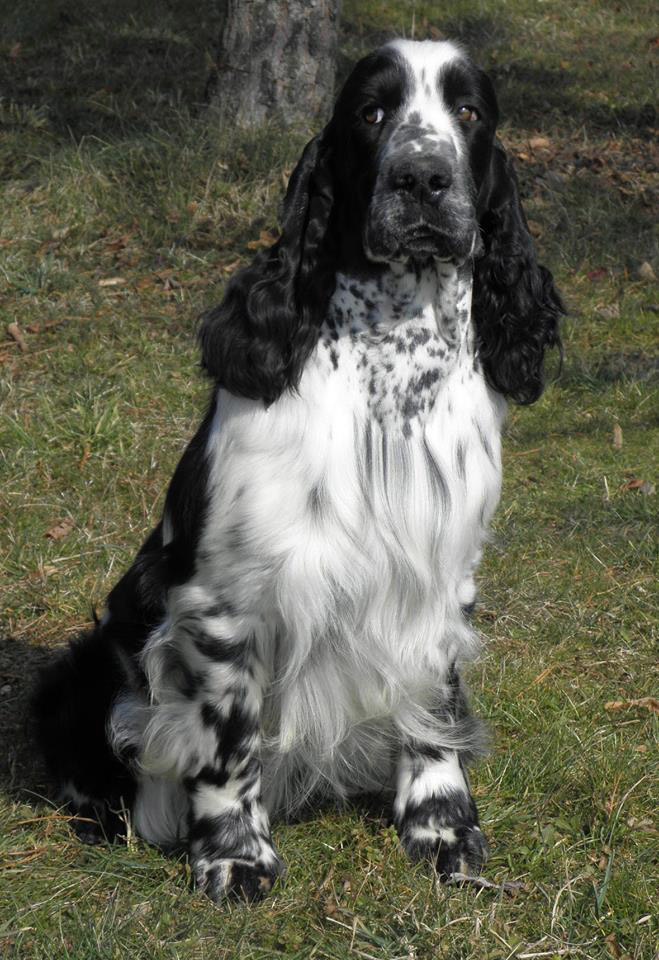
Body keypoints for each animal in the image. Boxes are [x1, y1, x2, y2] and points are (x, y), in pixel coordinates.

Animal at [33, 39, 564, 900]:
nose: (422, 178)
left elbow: (435, 708)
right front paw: (233, 857)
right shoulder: (226, 601)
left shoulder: (441, 576)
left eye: (468, 111)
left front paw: (443, 830)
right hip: (93, 661)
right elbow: (226, 741)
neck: (391, 364)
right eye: (371, 112)